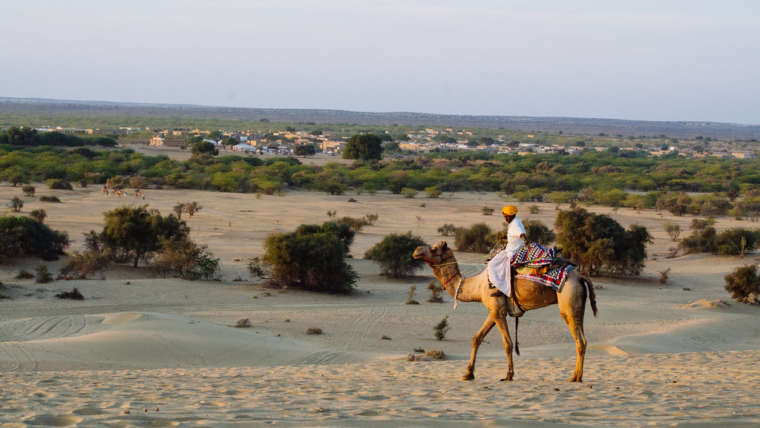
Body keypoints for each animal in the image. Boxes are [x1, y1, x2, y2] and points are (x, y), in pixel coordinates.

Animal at [412, 241, 596, 382]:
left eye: (434, 248)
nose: (416, 250)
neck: (477, 286)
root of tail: (580, 276)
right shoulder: (494, 310)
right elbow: (477, 338)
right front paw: (468, 374)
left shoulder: (498, 311)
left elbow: (507, 344)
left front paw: (508, 375)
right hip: (578, 305)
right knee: (583, 340)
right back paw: (577, 376)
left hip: (568, 301)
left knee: (580, 340)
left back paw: (575, 378)